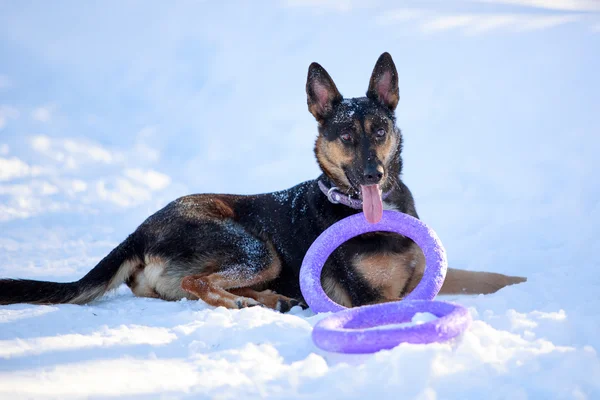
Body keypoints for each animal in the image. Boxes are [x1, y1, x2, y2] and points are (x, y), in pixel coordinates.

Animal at [0, 52, 524, 310]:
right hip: (255, 248)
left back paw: (274, 300)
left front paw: (523, 282)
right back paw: (244, 302)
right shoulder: (373, 298)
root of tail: (141, 230)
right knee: (198, 280)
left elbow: (485, 277)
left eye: (379, 131)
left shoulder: (430, 271)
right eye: (346, 135)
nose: (373, 174)